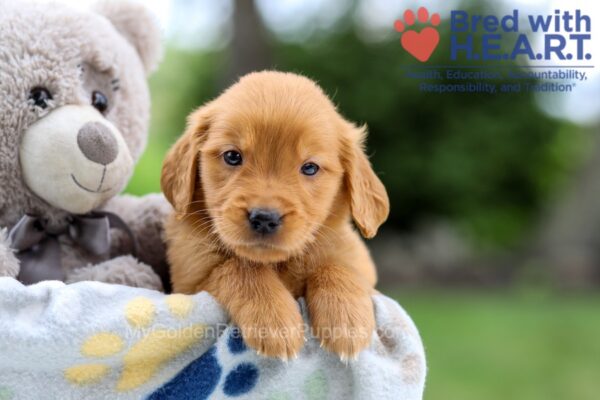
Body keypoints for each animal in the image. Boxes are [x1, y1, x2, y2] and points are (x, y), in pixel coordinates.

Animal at [161, 70, 390, 360]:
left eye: (310, 167)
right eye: (232, 156)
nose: (264, 218)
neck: (279, 264)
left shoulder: (358, 260)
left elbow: (338, 267)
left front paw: (346, 321)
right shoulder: (190, 279)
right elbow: (238, 267)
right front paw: (275, 321)